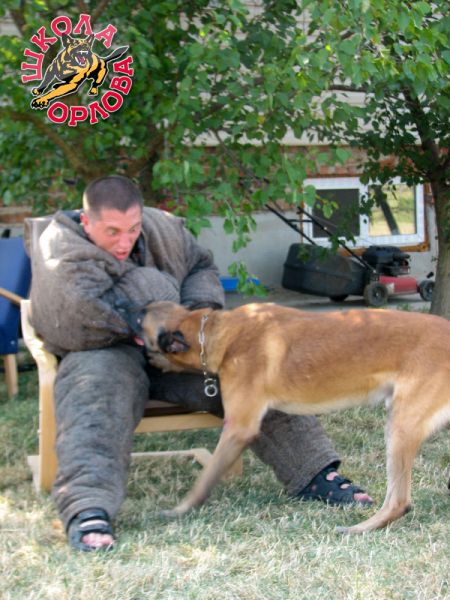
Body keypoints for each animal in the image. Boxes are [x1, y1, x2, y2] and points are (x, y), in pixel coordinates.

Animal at [137, 301, 450, 534]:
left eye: (140, 315)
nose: (127, 303)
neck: (221, 332)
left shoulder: (239, 427)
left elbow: (205, 478)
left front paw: (181, 509)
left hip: (399, 429)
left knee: (399, 501)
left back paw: (358, 529)